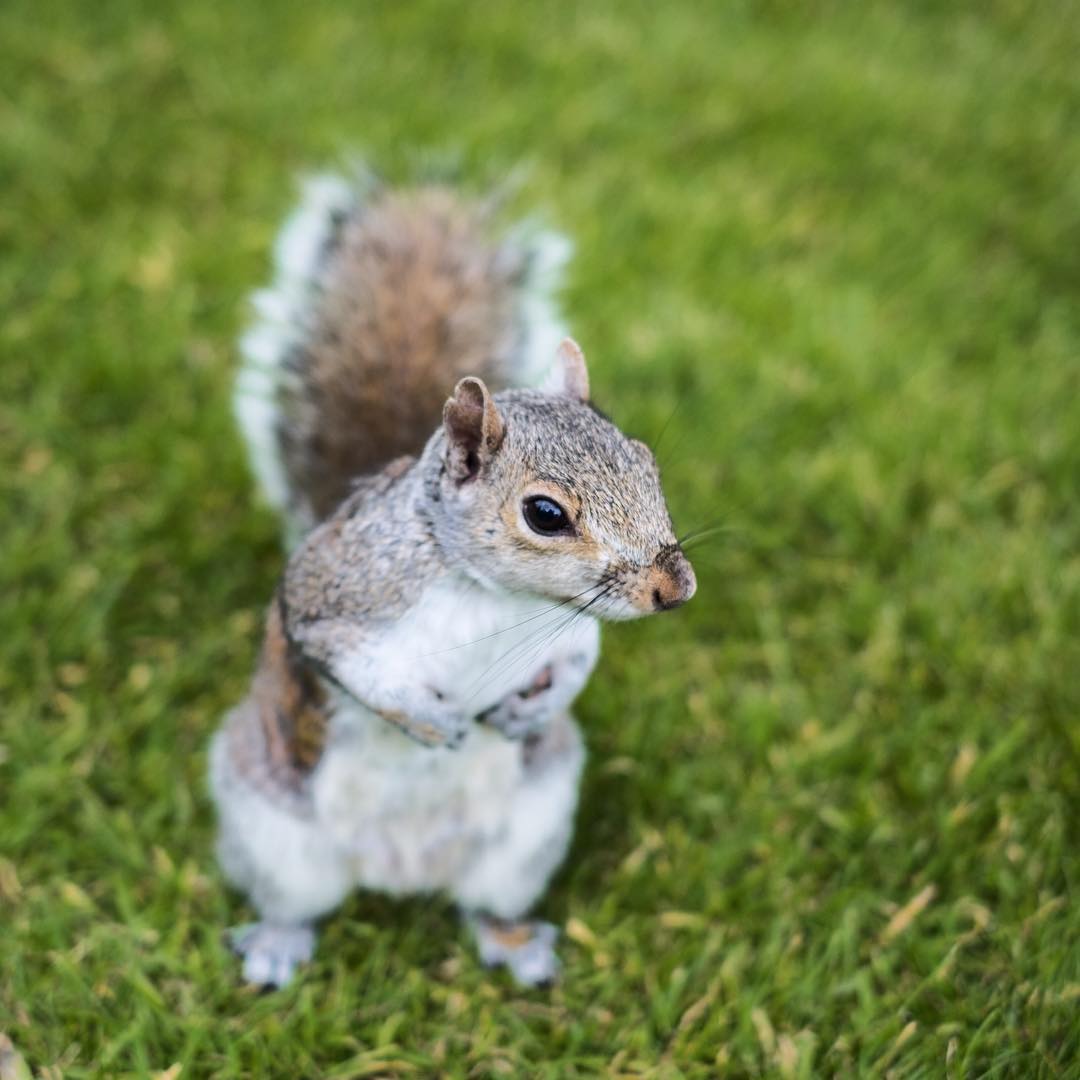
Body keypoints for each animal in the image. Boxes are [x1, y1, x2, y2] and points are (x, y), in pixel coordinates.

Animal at [210, 171, 696, 989]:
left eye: (646, 462)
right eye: (544, 513)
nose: (674, 588)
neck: (495, 597)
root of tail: (402, 871)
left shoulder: (568, 627)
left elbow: (581, 656)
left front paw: (539, 705)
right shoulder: (339, 587)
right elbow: (329, 643)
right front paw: (423, 717)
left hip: (525, 838)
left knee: (487, 906)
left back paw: (515, 945)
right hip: (269, 826)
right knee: (295, 902)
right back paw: (278, 945)